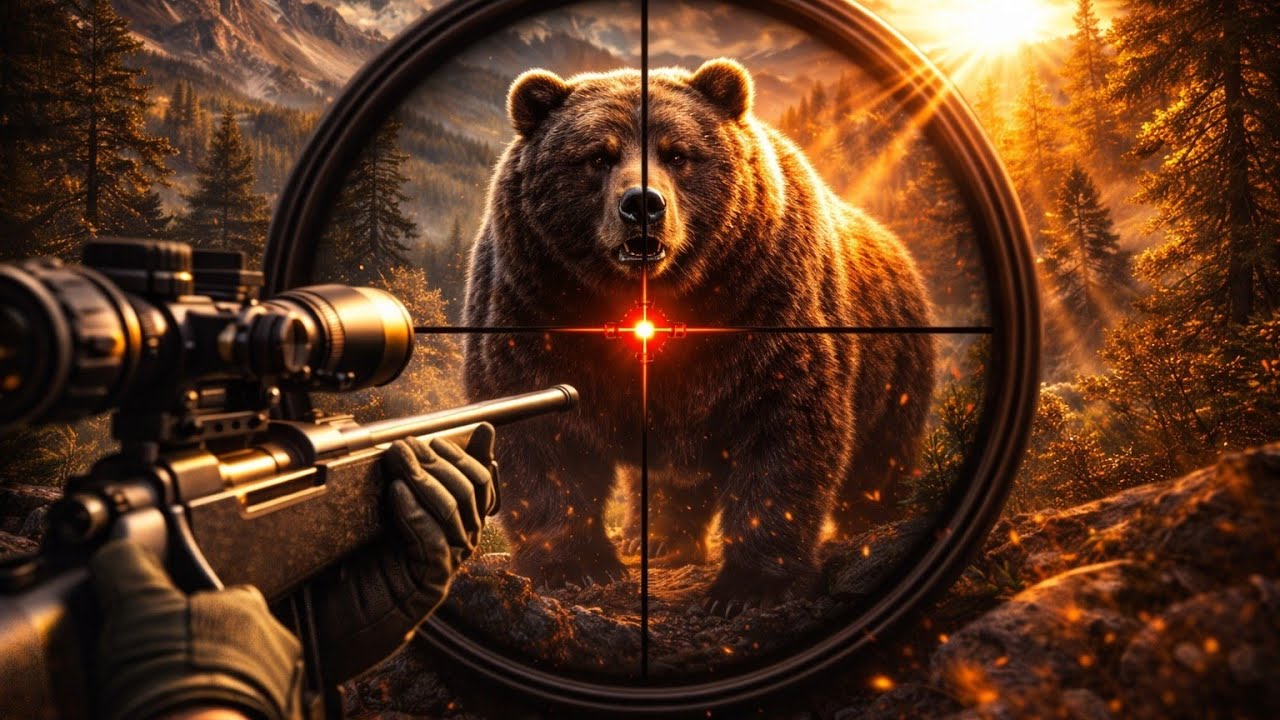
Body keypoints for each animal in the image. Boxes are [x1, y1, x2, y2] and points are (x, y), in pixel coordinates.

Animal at [462, 58, 935, 613]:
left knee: (880, 455)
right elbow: (542, 438)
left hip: (895, 365)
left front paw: (748, 585)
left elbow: (785, 431)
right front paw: (577, 567)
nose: (642, 205)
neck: (649, 302)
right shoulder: (534, 303)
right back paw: (656, 539)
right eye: (597, 156)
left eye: (678, 153)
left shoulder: (765, 306)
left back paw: (870, 520)